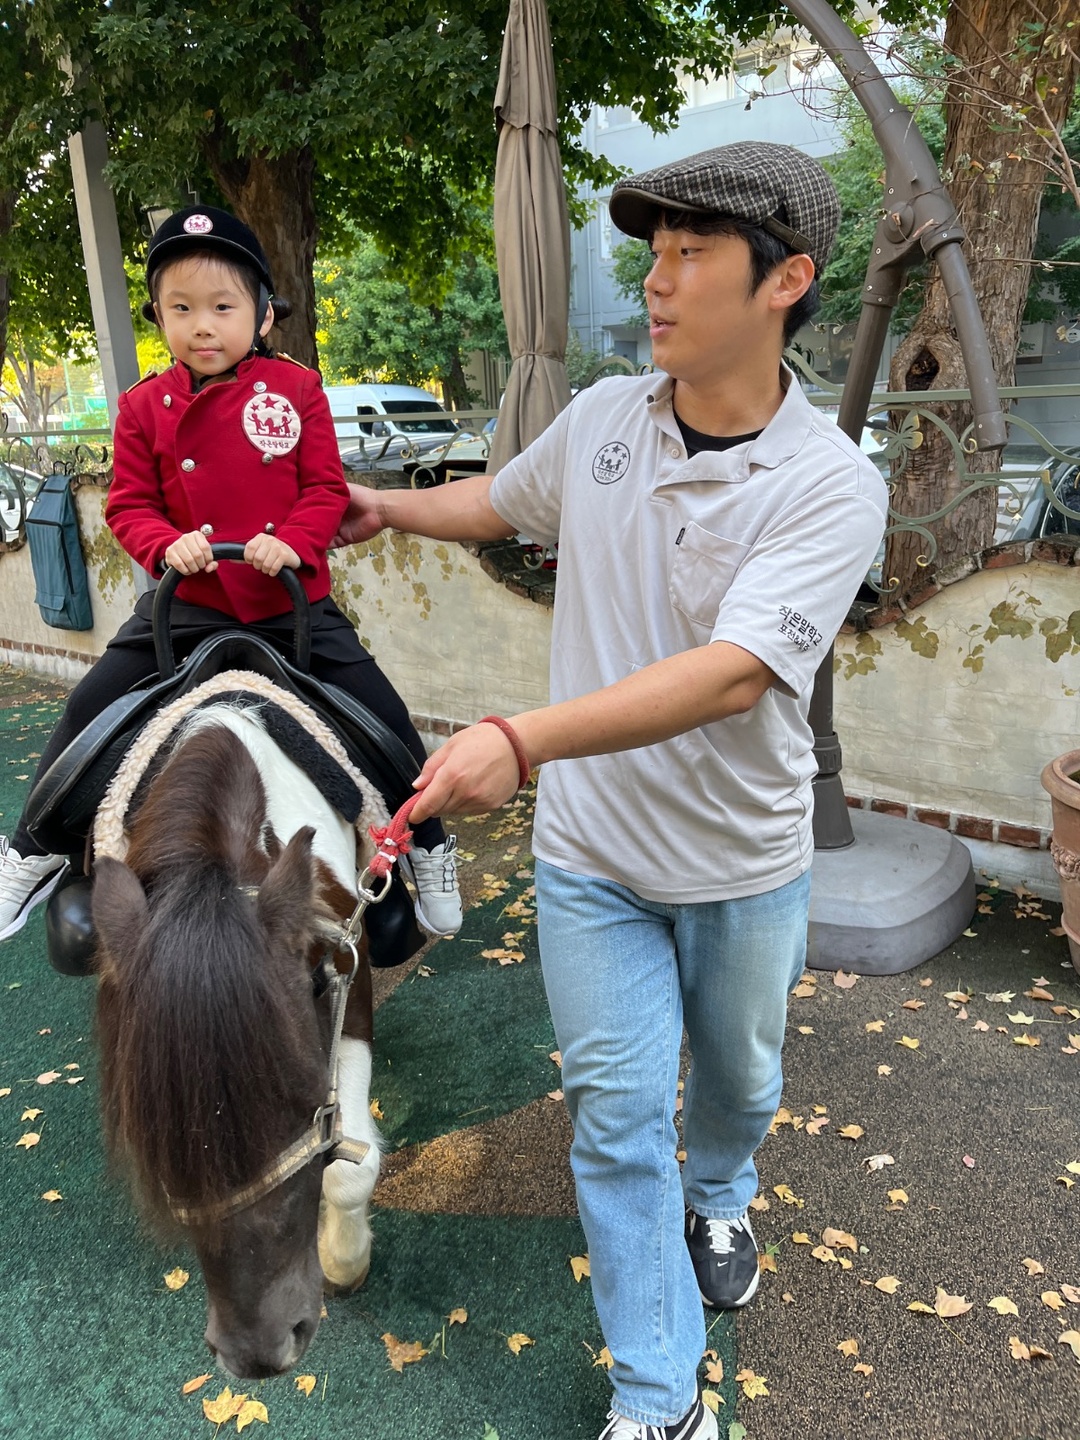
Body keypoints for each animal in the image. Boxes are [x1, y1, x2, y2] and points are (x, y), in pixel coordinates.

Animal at [91, 702, 385, 1376]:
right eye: (155, 1131)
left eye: (304, 1103)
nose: (257, 1353)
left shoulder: (348, 978)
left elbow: (350, 1165)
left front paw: (344, 1261)